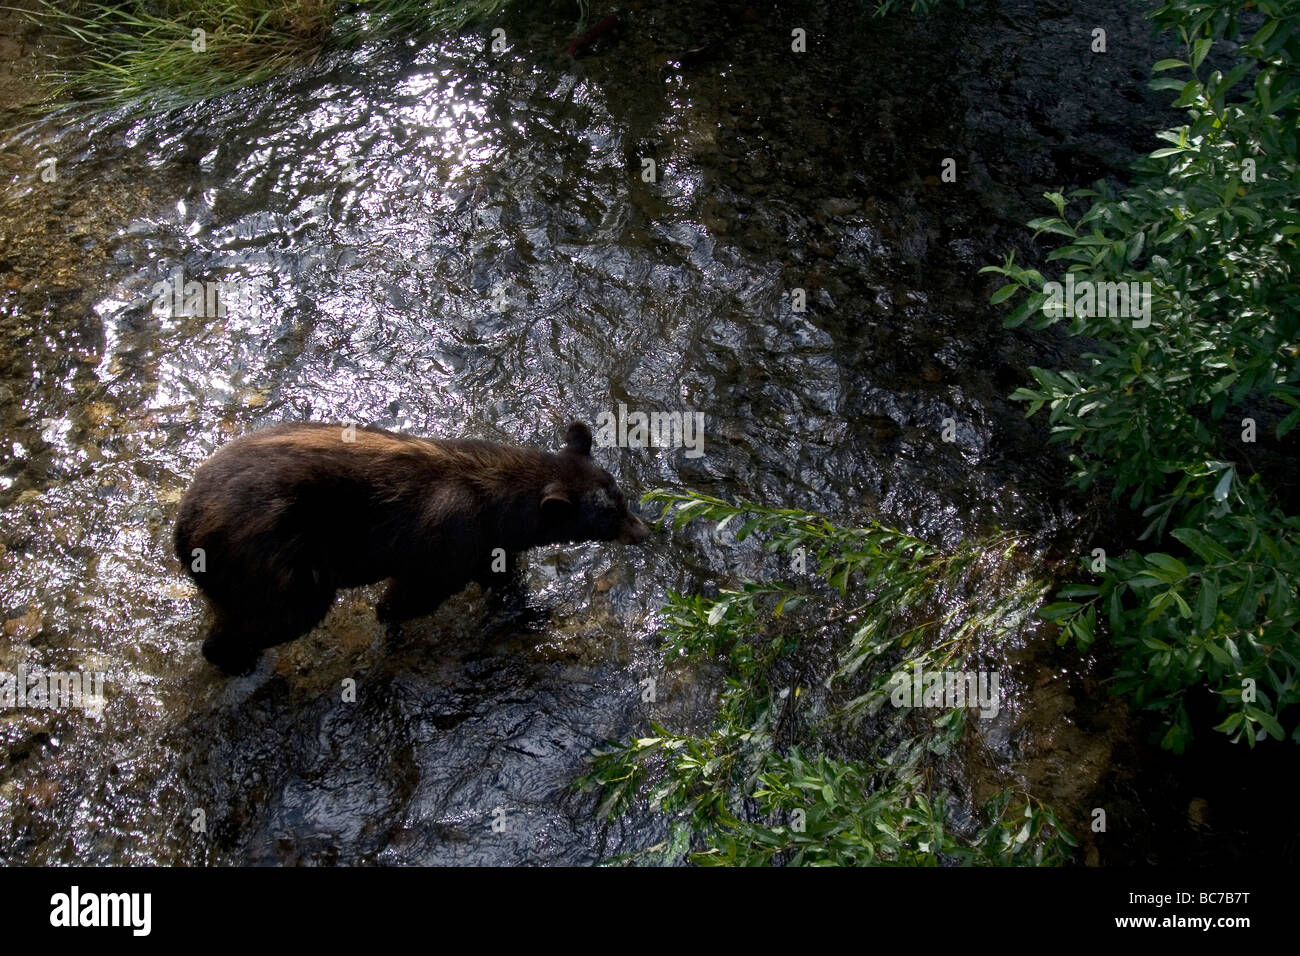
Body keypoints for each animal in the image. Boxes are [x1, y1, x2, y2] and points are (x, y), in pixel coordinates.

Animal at [172, 421, 650, 676]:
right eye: (609, 515)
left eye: (621, 498)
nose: (644, 531)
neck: (496, 499)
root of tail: (184, 528)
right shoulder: (450, 540)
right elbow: (415, 592)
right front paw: (390, 621)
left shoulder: (487, 545)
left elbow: (503, 579)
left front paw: (526, 611)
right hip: (273, 562)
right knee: (282, 615)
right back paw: (236, 659)